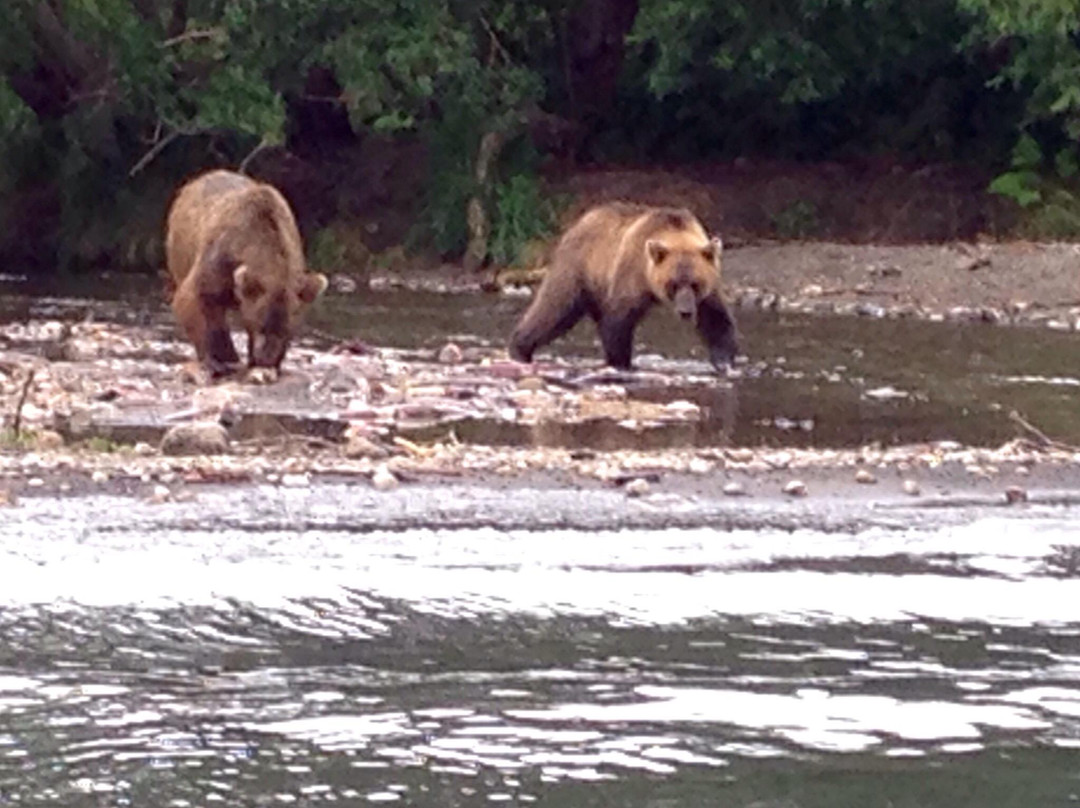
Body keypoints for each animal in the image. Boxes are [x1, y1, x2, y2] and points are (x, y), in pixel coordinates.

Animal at [164, 170, 328, 378]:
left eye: (288, 330)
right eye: (261, 325)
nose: (266, 359)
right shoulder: (218, 261)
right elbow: (195, 300)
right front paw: (215, 359)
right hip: (180, 250)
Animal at [509, 203, 738, 371]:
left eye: (695, 284)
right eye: (673, 284)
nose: (686, 311)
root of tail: (579, 222)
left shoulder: (710, 285)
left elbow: (715, 317)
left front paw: (724, 361)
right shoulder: (631, 272)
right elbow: (620, 318)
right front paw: (621, 362)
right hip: (578, 268)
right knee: (554, 308)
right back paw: (519, 348)